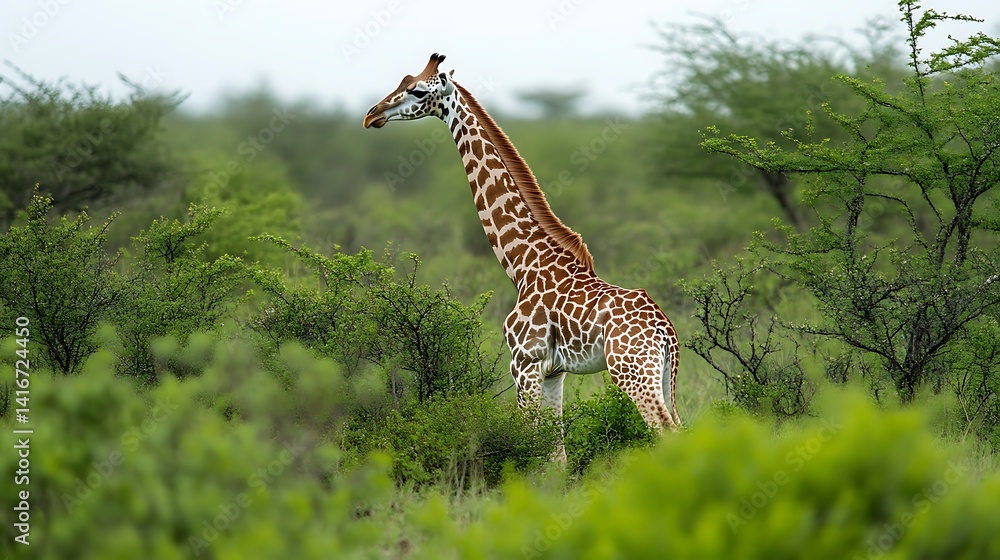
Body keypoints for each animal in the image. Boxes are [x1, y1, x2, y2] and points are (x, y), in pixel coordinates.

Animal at [363, 54, 681, 459]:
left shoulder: (524, 364)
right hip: (659, 373)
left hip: (631, 370)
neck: (523, 262)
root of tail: (666, 330)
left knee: (668, 431)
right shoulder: (554, 371)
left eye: (418, 90)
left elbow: (532, 448)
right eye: (403, 79)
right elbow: (558, 455)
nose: (371, 115)